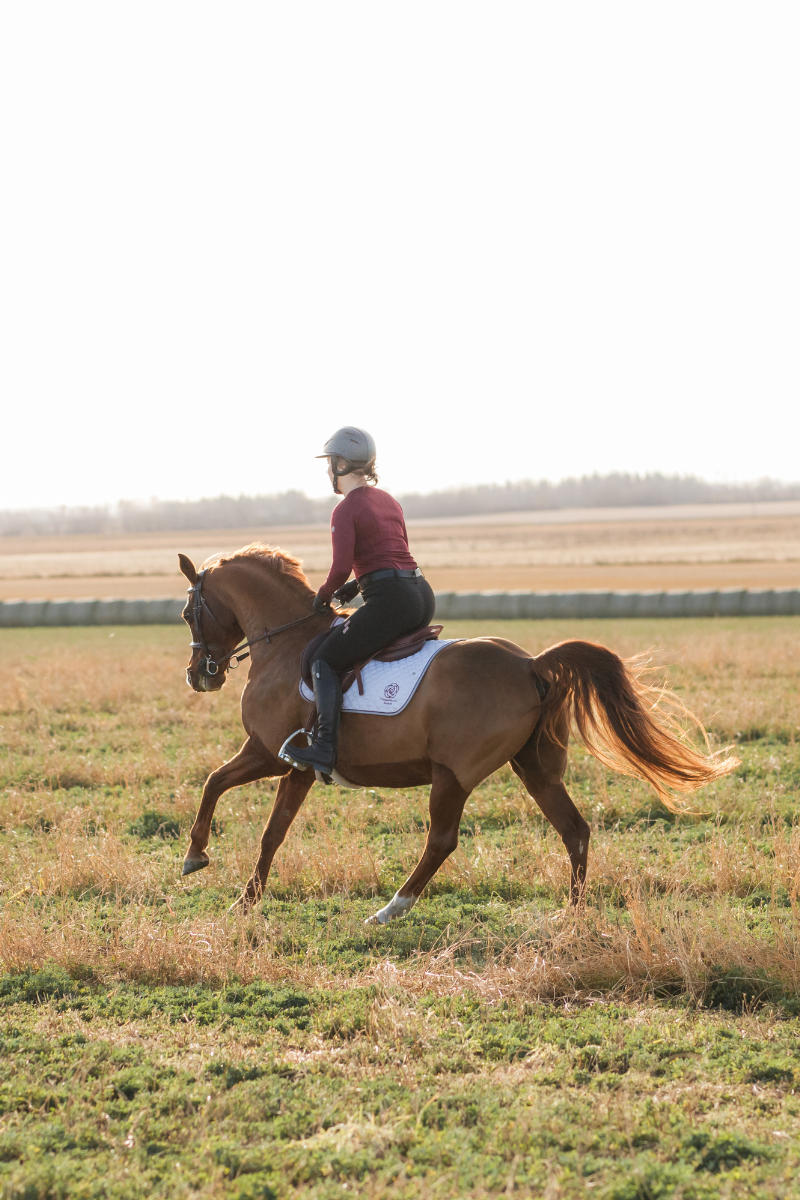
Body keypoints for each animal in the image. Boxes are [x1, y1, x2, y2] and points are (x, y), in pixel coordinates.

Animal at [178, 543, 738, 920]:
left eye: (187, 612)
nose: (199, 674)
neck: (286, 643)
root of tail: (530, 663)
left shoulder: (276, 757)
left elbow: (234, 801)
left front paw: (210, 868)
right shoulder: (280, 762)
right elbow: (247, 810)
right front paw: (227, 880)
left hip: (452, 774)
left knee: (442, 840)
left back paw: (393, 908)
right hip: (535, 769)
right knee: (574, 830)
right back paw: (573, 915)